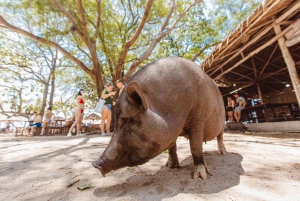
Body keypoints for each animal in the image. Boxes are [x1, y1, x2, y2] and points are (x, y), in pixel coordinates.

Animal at [92, 57, 226, 181]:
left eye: (127, 120)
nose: (95, 164)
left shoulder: (198, 119)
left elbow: (195, 147)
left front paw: (200, 177)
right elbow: (172, 148)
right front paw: (169, 166)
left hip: (223, 121)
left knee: (220, 136)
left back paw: (223, 153)